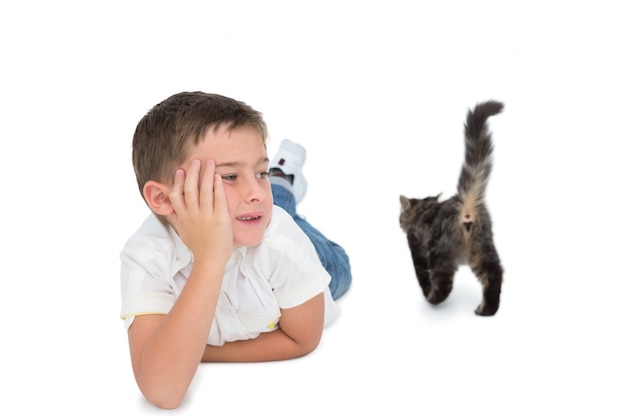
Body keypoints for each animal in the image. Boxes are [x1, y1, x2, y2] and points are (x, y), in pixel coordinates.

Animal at [400, 101, 502, 316]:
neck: (422, 210)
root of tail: (464, 204)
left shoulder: (416, 248)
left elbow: (422, 275)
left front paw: (426, 291)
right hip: (484, 249)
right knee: (495, 275)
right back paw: (486, 310)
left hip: (441, 253)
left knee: (444, 284)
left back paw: (433, 299)